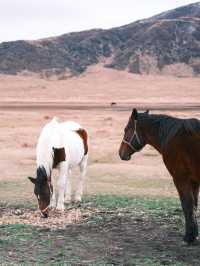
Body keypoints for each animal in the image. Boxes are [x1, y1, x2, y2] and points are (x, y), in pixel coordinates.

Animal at [118, 108, 200, 243]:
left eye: (126, 129)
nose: (121, 153)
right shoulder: (194, 181)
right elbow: (194, 206)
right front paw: (194, 234)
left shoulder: (180, 179)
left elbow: (187, 205)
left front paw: (189, 237)